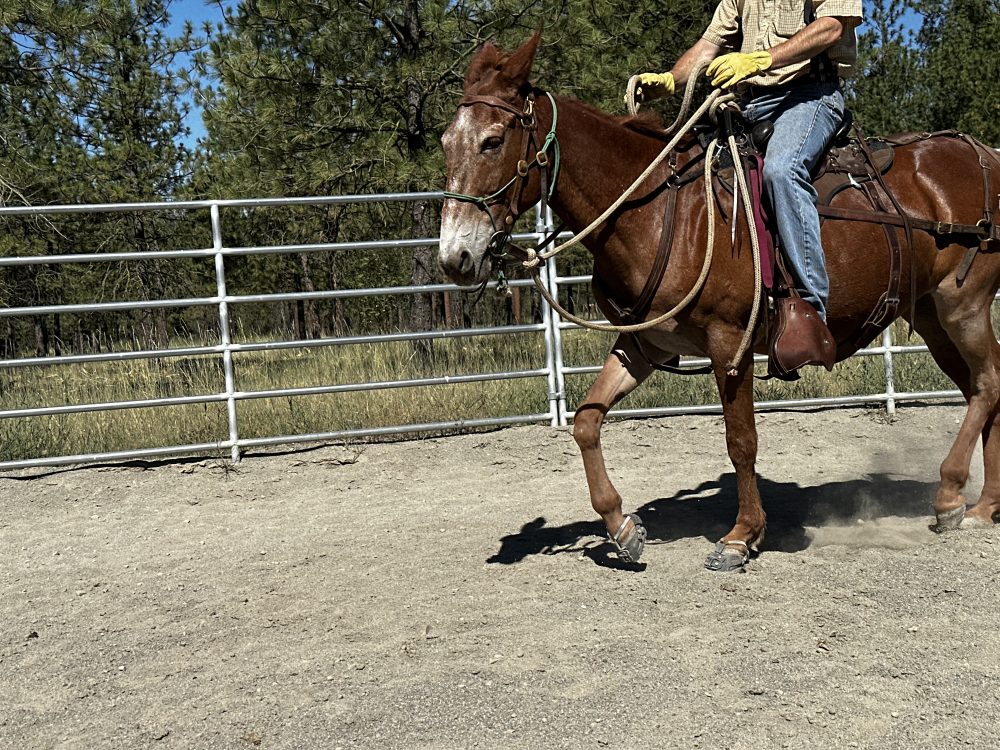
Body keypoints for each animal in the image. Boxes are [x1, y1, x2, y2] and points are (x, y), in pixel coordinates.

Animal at [438, 29, 1000, 568]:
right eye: (445, 142)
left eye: (492, 141)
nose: (455, 257)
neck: (660, 211)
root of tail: (983, 153)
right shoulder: (645, 345)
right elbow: (586, 421)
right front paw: (621, 527)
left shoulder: (730, 344)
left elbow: (741, 441)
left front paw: (742, 535)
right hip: (931, 317)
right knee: (981, 389)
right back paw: (985, 505)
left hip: (964, 306)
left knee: (988, 384)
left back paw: (950, 497)